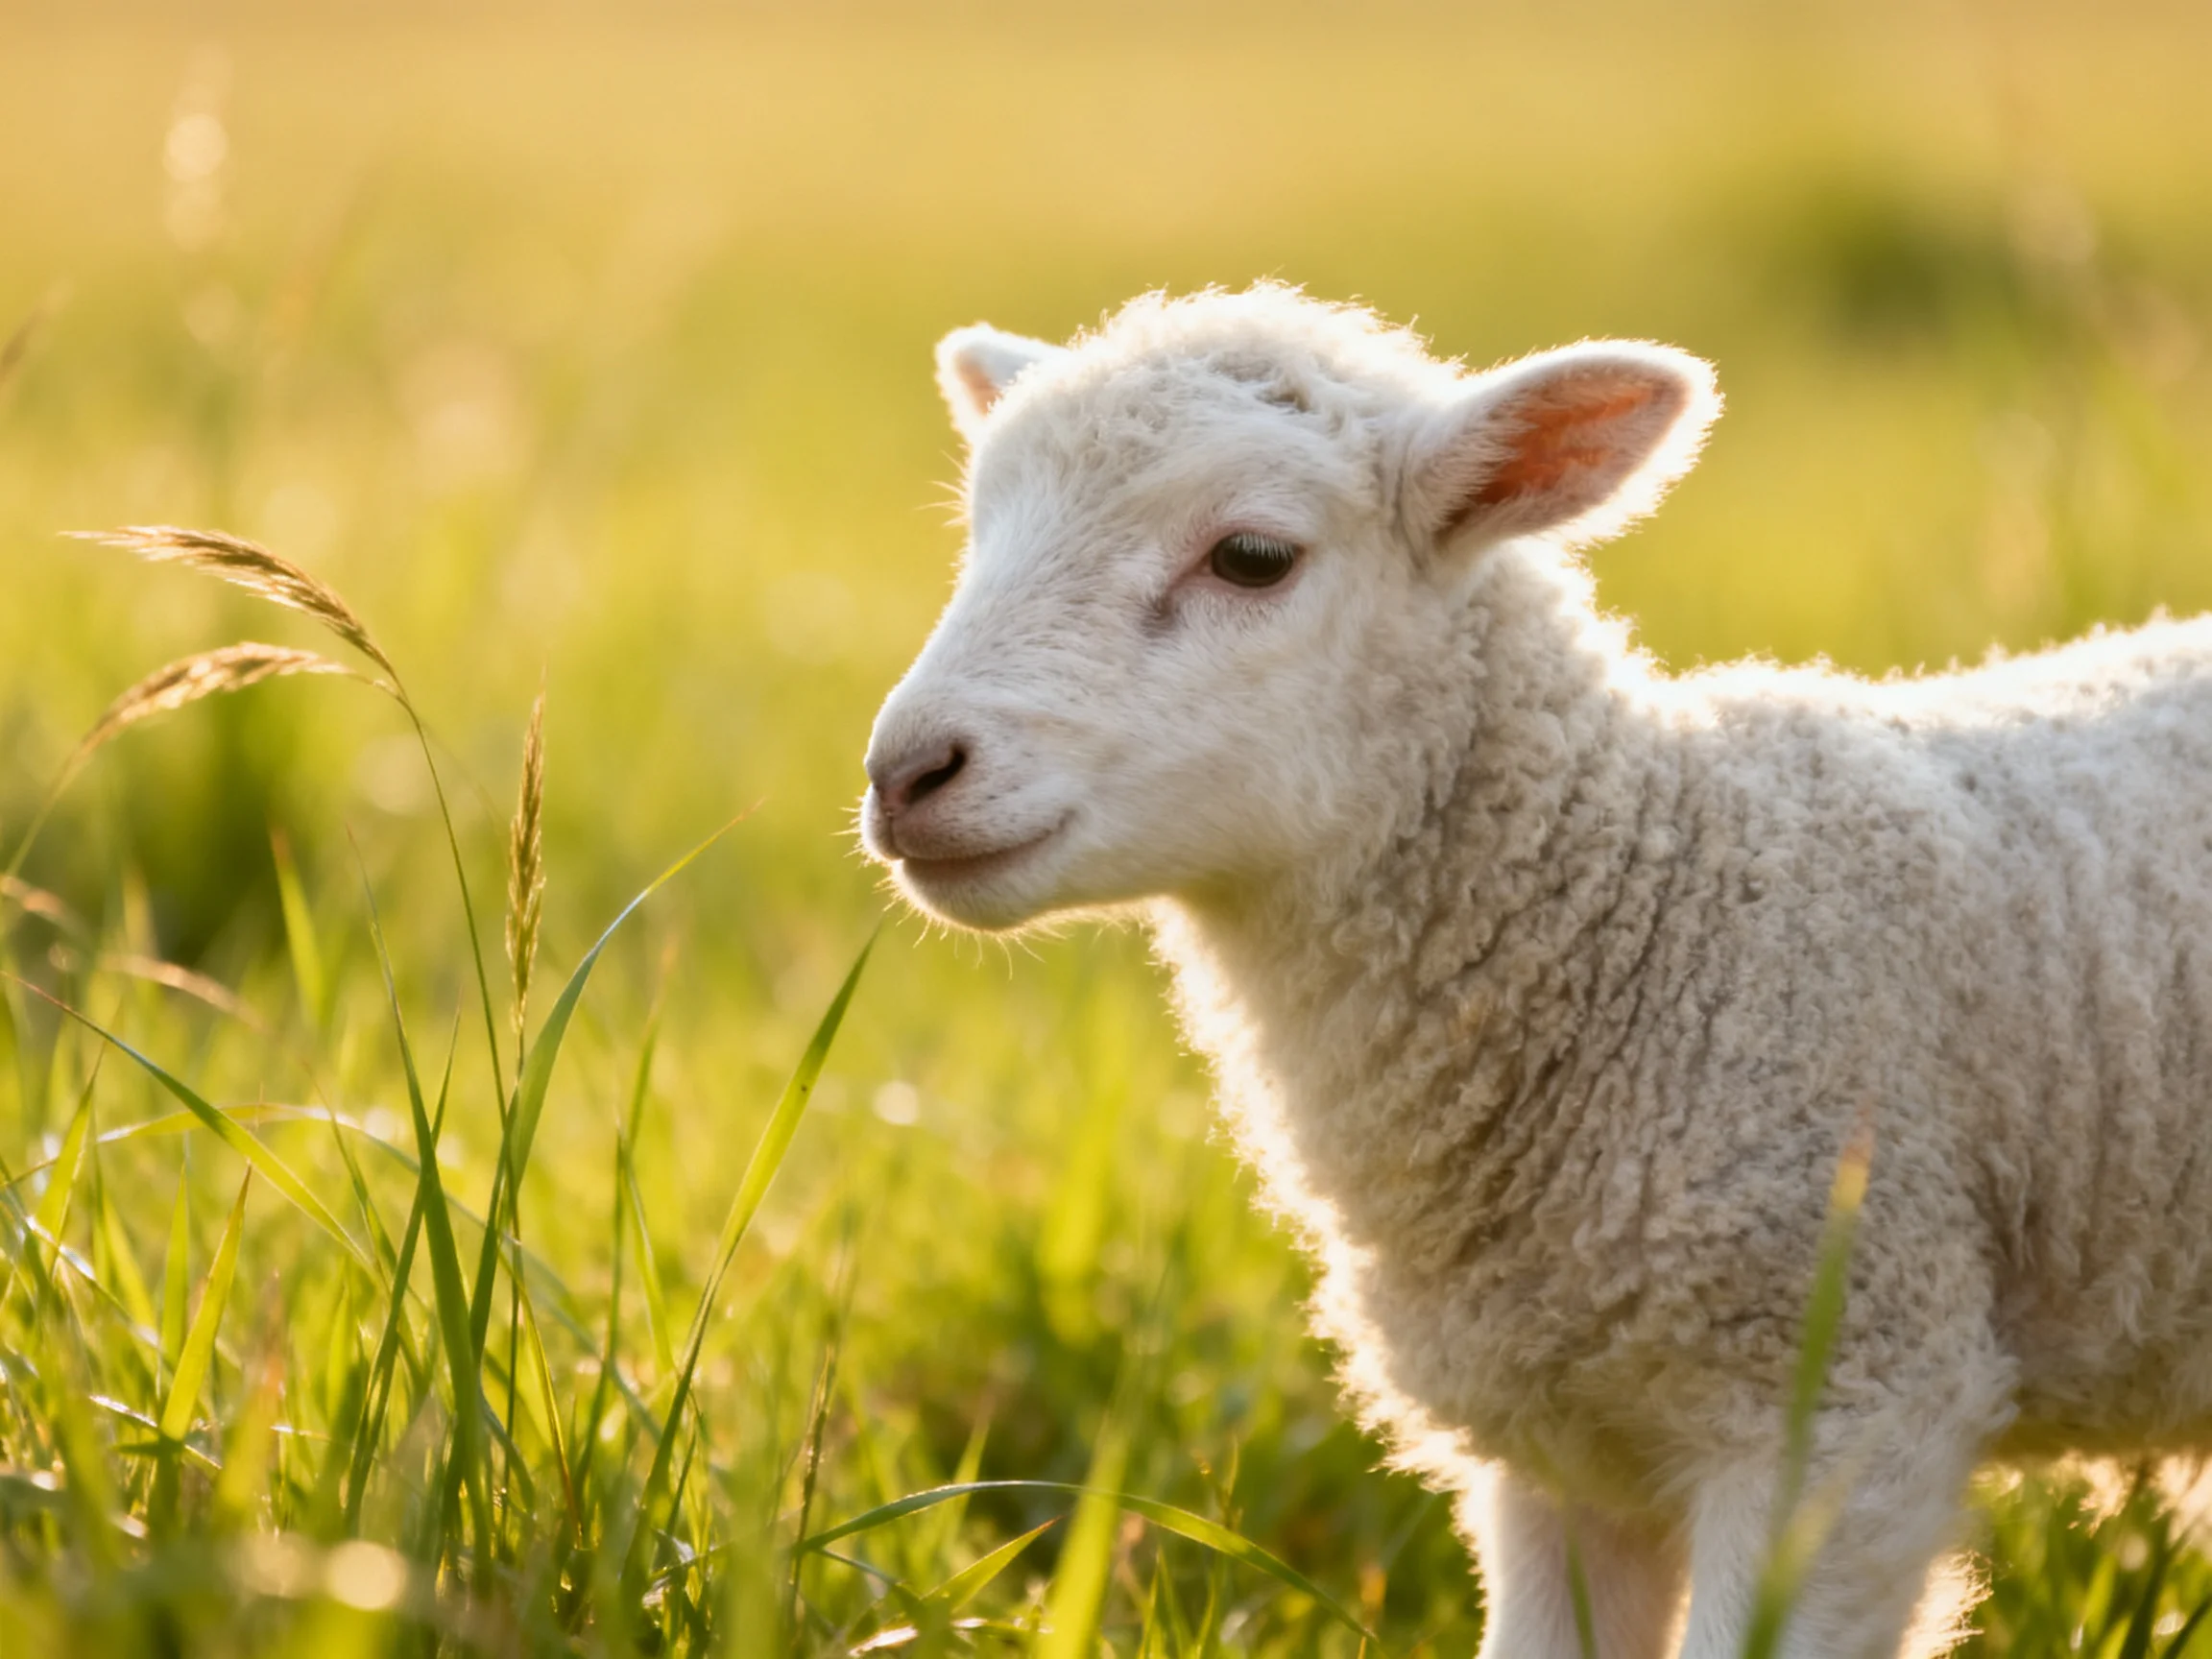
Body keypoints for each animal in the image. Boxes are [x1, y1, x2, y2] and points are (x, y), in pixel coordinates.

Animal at [859, 282, 2212, 1659]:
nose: (907, 773)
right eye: (978, 531)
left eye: (1252, 557)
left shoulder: (1849, 1394)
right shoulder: (1565, 1449)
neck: (1655, 931)